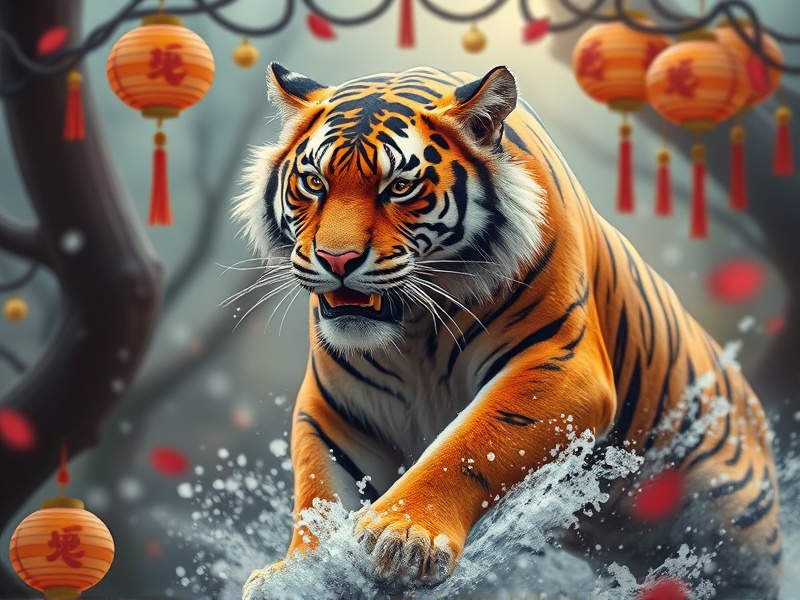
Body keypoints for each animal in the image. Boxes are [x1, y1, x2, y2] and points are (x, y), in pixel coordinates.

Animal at [235, 62, 782, 598]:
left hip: (737, 524)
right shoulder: (333, 408)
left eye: (399, 187)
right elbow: (321, 489)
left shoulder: (560, 363)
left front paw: (403, 535)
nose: (336, 260)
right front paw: (297, 574)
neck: (414, 332)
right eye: (313, 183)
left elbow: (470, 444)